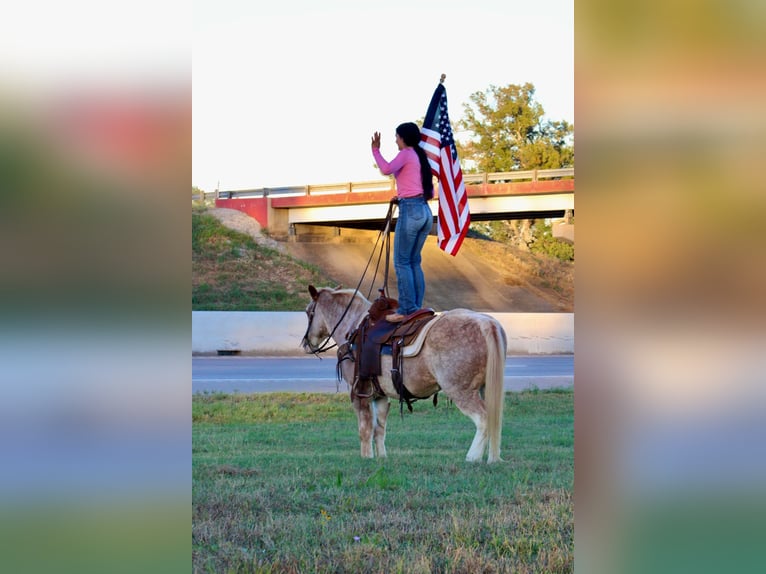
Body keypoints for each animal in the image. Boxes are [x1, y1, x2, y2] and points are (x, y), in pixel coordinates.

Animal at [302, 286, 510, 466]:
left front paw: (366, 457)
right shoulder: (380, 396)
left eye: (308, 312)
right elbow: (379, 429)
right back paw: (492, 458)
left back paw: (473, 457)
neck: (353, 329)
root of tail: (487, 323)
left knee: (483, 418)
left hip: (461, 391)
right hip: (485, 388)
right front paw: (381, 457)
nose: (306, 343)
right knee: (493, 418)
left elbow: (365, 429)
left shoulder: (359, 393)